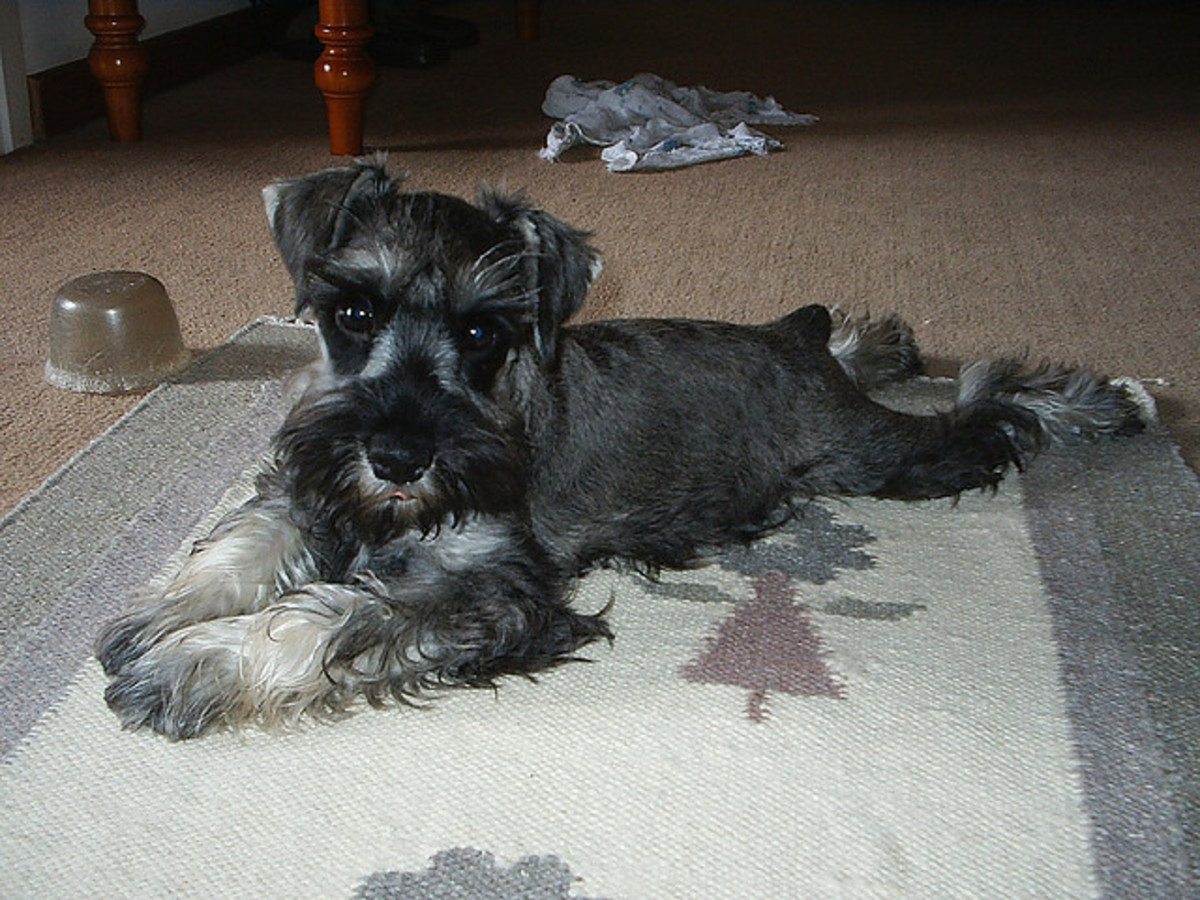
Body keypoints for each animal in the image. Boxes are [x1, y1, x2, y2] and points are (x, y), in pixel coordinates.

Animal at [93, 158, 1142, 739]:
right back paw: (878, 338)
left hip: (879, 452)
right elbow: (247, 541)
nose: (397, 457)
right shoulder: (315, 485)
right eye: (352, 312)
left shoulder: (491, 589)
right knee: (856, 346)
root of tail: (795, 355)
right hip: (827, 389)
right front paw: (158, 619)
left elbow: (331, 615)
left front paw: (188, 667)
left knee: (987, 407)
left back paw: (1107, 400)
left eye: (483, 332)